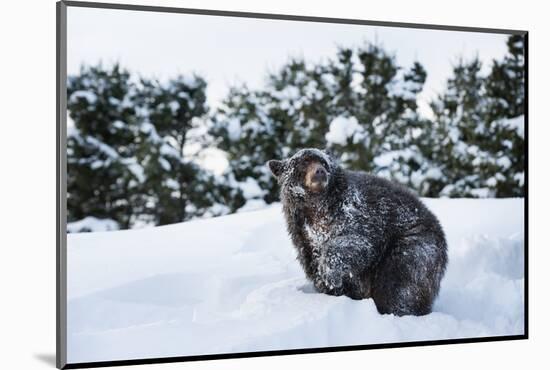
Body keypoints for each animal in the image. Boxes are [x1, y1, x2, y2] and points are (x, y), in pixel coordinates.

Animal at [270, 147, 450, 316]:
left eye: (323, 162)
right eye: (304, 162)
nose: (319, 171)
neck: (317, 206)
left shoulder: (356, 214)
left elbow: (356, 243)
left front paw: (329, 272)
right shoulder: (302, 233)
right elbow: (314, 262)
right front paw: (329, 288)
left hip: (412, 243)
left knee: (400, 284)